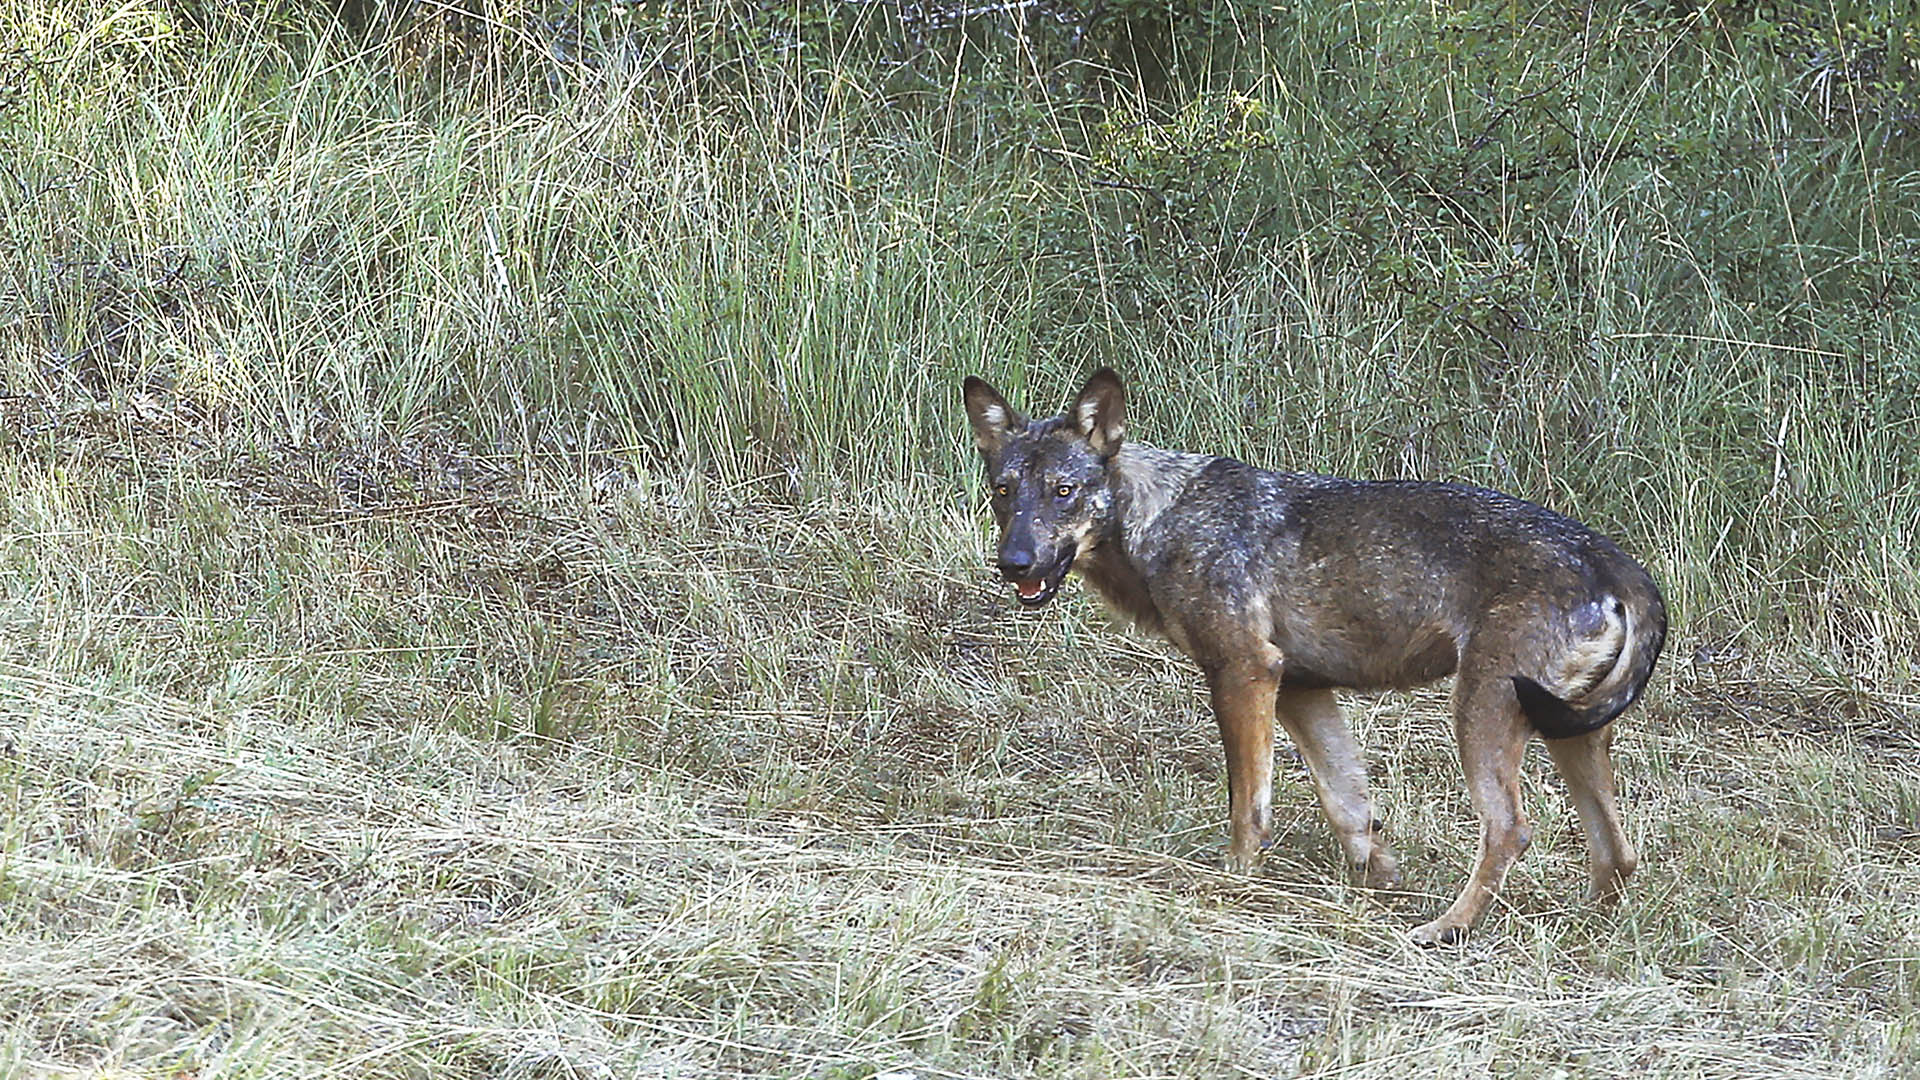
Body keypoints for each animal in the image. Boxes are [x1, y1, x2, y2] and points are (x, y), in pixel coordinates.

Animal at [960, 368, 1666, 941]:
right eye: (1004, 491)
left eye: (1063, 492)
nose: (1013, 562)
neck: (1159, 520)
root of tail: (1615, 560)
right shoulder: (1301, 687)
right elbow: (1348, 807)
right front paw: (1380, 876)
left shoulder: (1245, 672)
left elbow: (1249, 807)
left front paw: (1234, 882)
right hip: (1565, 730)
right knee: (1618, 852)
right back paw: (1586, 930)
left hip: (1482, 712)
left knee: (1511, 830)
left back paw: (1446, 928)